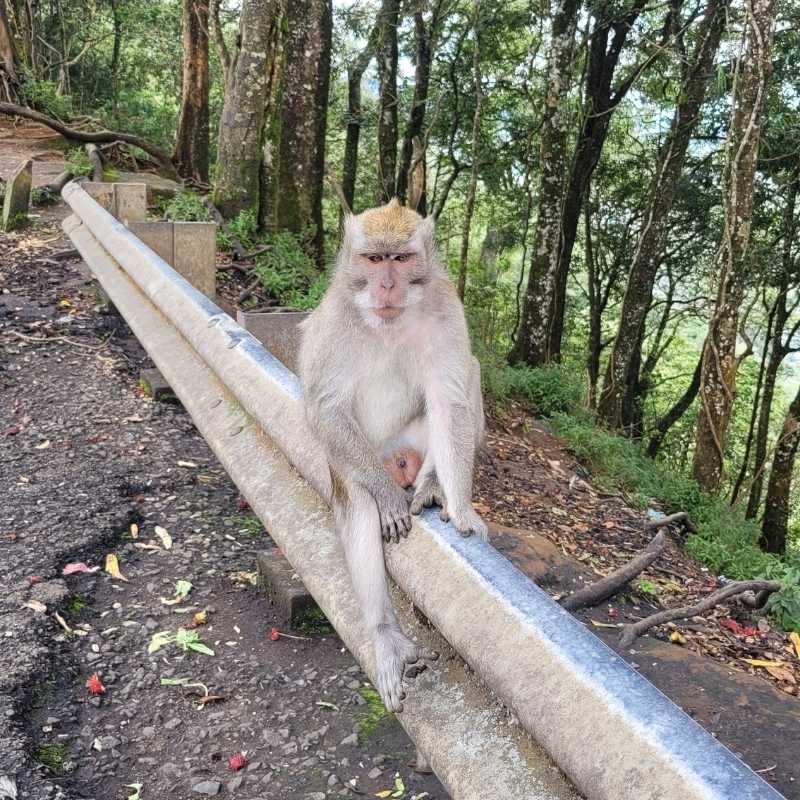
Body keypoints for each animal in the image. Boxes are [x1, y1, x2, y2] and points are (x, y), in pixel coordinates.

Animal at [298, 198, 486, 712]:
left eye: (401, 260)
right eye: (373, 259)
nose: (385, 285)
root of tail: (395, 458)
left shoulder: (447, 308)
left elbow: (450, 400)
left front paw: (461, 506)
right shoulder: (336, 317)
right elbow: (325, 407)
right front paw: (386, 497)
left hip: (411, 443)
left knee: (466, 377)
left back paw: (431, 484)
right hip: (352, 460)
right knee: (357, 505)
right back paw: (385, 634)